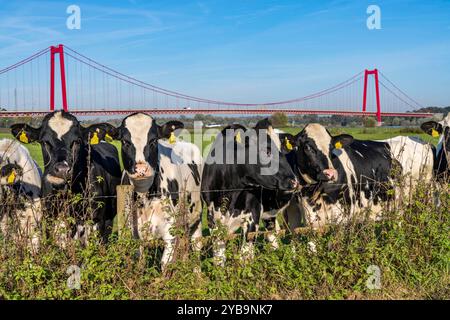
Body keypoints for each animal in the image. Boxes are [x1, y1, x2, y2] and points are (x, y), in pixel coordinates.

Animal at [94, 112, 203, 268]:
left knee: (196, 247)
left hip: (196, 215)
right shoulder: (134, 234)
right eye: (125, 142)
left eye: (153, 140)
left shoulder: (170, 233)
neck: (144, 195)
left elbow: (165, 264)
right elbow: (139, 263)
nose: (141, 169)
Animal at [200, 119, 298, 264]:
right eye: (266, 151)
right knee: (273, 232)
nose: (294, 181)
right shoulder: (212, 218)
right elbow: (219, 257)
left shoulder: (253, 216)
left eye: (283, 151)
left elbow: (245, 257)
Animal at [284, 122, 434, 230]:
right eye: (307, 147)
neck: (312, 194)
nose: (331, 173)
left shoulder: (343, 216)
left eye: (332, 147)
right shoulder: (305, 219)